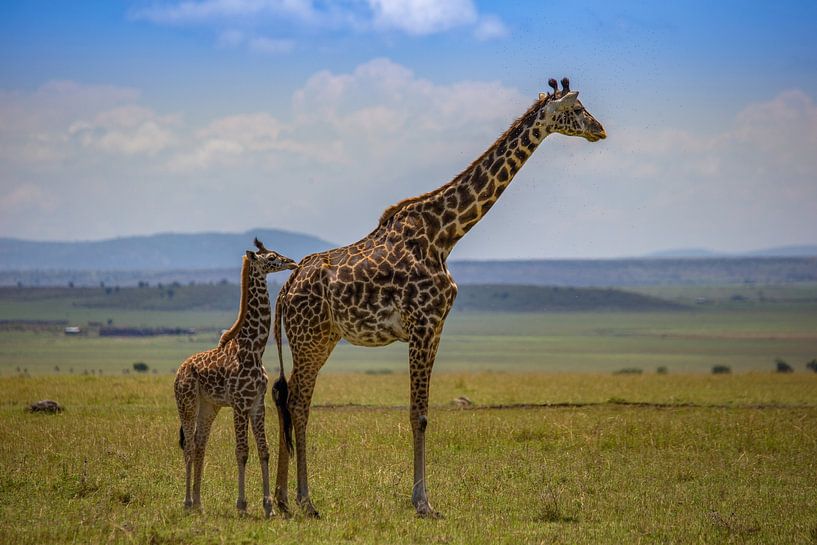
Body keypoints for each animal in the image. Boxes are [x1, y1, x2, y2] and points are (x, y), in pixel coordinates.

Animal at [174, 239, 297, 518]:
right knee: (189, 447)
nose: (292, 262)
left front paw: (268, 507)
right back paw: (186, 503)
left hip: (209, 405)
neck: (253, 348)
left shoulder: (257, 404)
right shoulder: (240, 404)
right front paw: (242, 505)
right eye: (271, 257)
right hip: (186, 402)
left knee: (199, 443)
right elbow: (242, 451)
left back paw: (199, 503)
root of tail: (180, 369)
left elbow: (264, 450)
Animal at [271, 77, 606, 518]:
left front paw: (423, 499)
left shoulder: (437, 328)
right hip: (308, 337)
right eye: (578, 108)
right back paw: (305, 501)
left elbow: (423, 412)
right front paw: (423, 503)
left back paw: (282, 500)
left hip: (322, 337)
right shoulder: (423, 324)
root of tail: (285, 289)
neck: (445, 234)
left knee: (288, 397)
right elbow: (419, 414)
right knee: (298, 401)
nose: (600, 130)